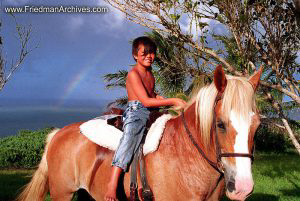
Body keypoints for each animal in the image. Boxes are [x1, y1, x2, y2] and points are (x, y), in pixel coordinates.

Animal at [17, 65, 262, 200]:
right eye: (220, 124)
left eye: (257, 126)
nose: (242, 188)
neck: (186, 156)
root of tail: (58, 134)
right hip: (62, 193)